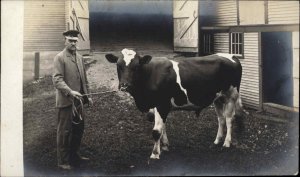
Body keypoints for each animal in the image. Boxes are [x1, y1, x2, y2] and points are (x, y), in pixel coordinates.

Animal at [105, 48, 246, 159]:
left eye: (136, 66)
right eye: (118, 66)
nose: (125, 86)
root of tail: (231, 56)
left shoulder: (161, 104)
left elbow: (156, 131)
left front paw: (155, 154)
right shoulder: (159, 107)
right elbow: (163, 128)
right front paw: (165, 146)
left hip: (231, 95)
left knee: (229, 119)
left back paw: (226, 142)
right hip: (218, 98)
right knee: (220, 119)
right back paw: (217, 140)